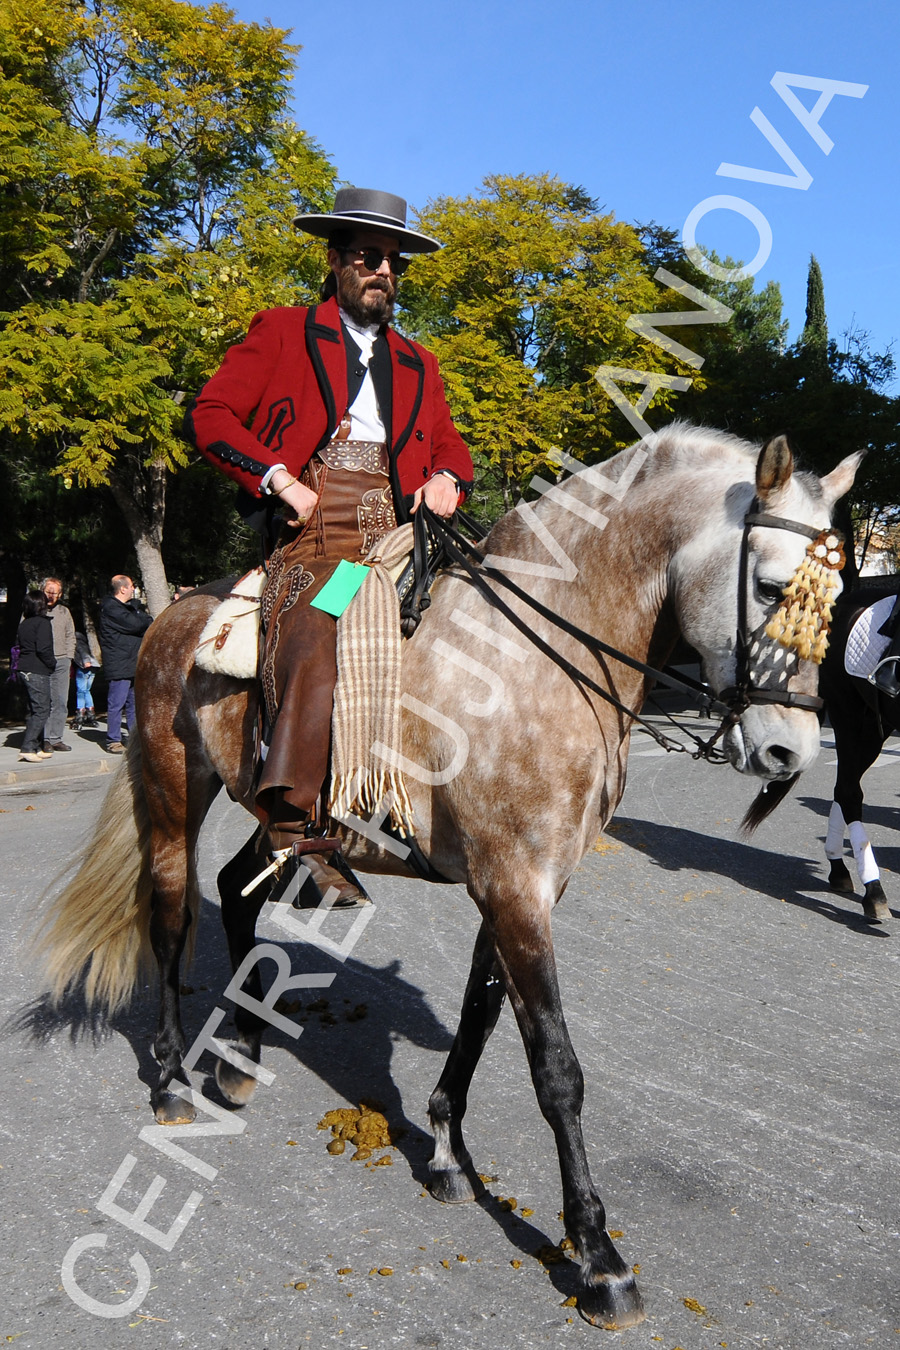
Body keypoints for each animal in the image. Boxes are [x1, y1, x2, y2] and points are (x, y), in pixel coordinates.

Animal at [38, 429, 863, 1328]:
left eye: (839, 594)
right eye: (772, 586)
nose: (789, 751)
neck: (543, 658)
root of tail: (179, 611)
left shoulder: (523, 885)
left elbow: (480, 1014)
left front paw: (444, 1151)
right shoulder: (514, 884)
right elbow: (556, 1067)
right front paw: (597, 1253)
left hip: (279, 817)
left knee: (233, 889)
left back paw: (240, 1056)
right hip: (171, 790)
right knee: (172, 915)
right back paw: (174, 1078)